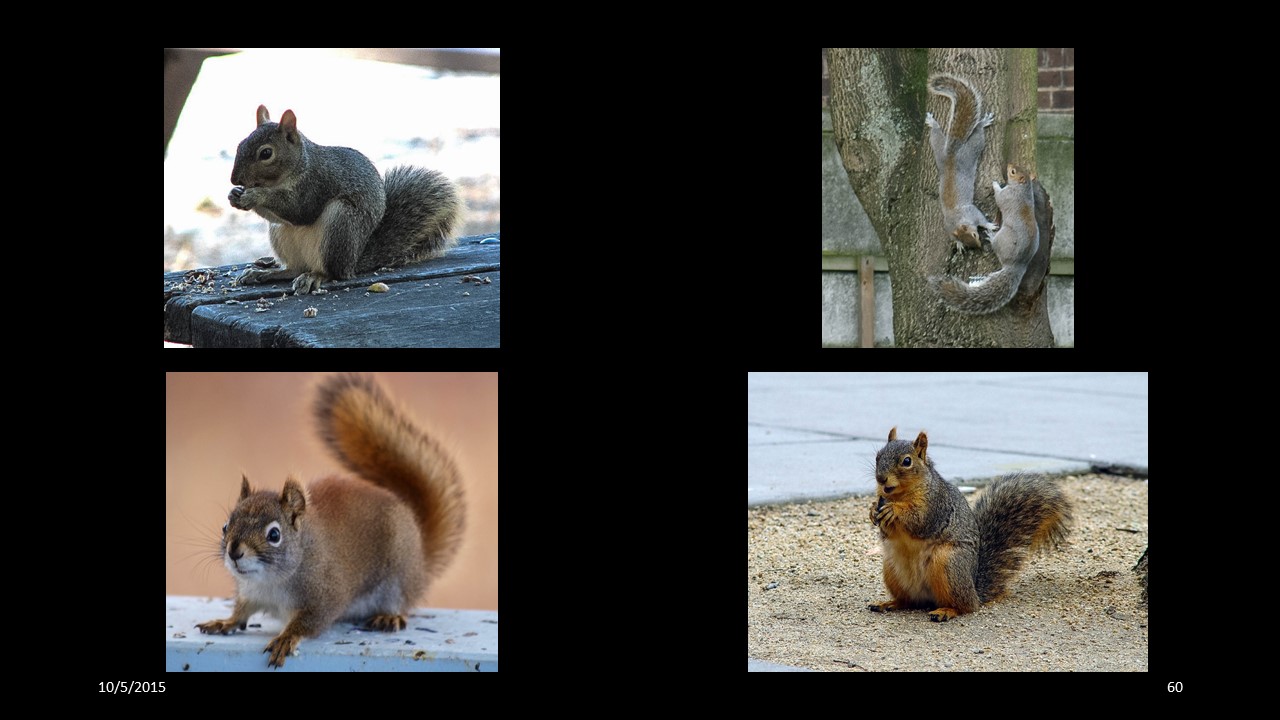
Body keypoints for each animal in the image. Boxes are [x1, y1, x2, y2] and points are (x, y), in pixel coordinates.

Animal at [196, 373, 466, 668]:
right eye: (225, 526)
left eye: (274, 535)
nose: (234, 551)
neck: (270, 581)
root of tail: (421, 558)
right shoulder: (249, 593)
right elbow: (241, 612)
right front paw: (224, 622)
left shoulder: (326, 596)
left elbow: (309, 622)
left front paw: (286, 638)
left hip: (398, 576)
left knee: (401, 601)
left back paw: (389, 616)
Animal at [230, 105, 462, 295]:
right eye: (240, 145)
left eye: (266, 153)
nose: (234, 179)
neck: (299, 166)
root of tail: (353, 262)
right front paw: (234, 195)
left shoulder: (315, 185)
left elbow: (299, 211)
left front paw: (254, 195)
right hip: (281, 234)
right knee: (295, 268)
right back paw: (263, 274)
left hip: (340, 223)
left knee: (332, 272)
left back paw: (315, 276)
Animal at [868, 427, 1071, 622]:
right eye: (878, 455)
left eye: (907, 461)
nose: (881, 478)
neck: (899, 495)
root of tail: (975, 591)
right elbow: (887, 532)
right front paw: (872, 510)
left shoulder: (936, 506)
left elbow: (920, 520)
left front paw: (895, 510)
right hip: (892, 570)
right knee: (909, 602)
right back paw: (889, 603)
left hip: (949, 565)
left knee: (966, 606)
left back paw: (946, 611)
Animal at [925, 74, 998, 250]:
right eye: (969, 239)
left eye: (975, 234)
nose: (979, 246)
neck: (958, 220)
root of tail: (951, 155)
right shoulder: (949, 227)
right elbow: (952, 236)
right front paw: (958, 244)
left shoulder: (972, 212)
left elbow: (981, 219)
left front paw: (989, 225)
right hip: (939, 152)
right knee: (936, 135)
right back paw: (932, 123)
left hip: (969, 152)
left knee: (977, 134)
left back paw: (982, 123)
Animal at [927, 163, 1040, 314]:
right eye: (1015, 168)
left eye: (1012, 171)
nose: (1009, 164)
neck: (1023, 189)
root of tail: (1017, 265)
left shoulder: (1007, 196)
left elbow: (999, 196)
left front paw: (995, 184)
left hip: (1002, 238)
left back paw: (991, 237)